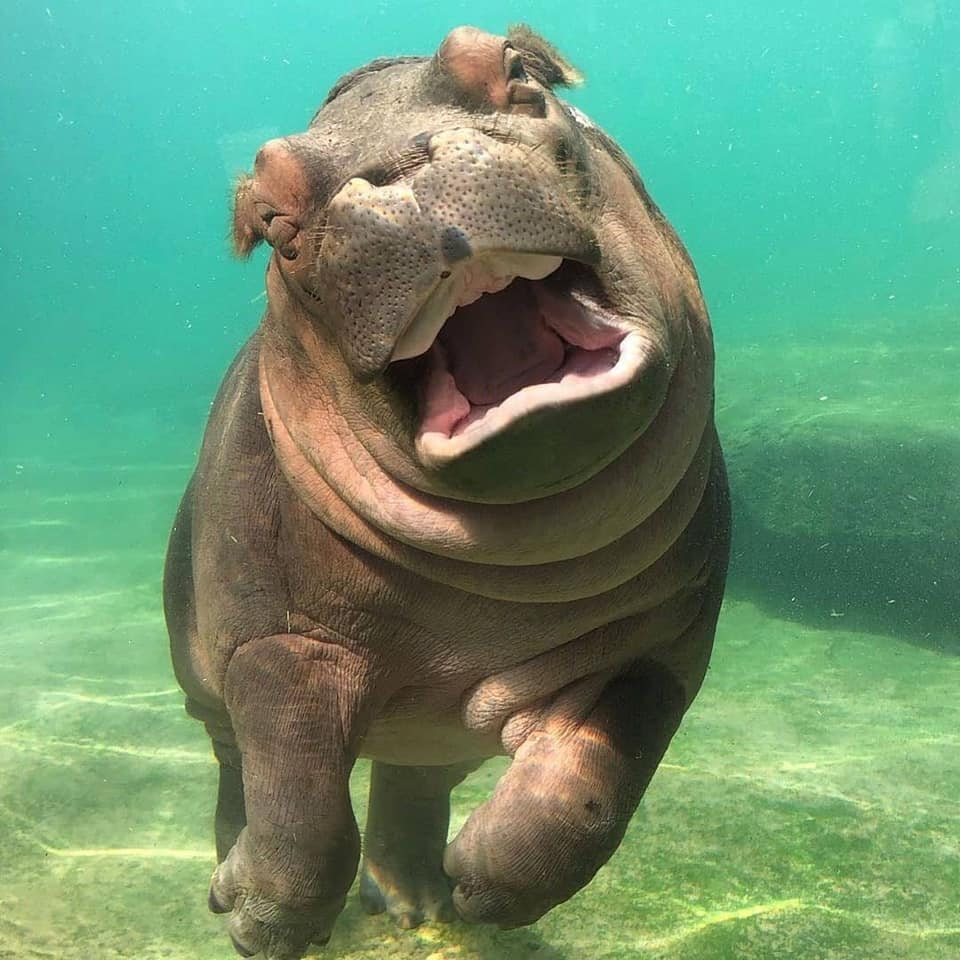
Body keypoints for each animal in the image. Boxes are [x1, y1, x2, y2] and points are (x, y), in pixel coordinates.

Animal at [167, 26, 728, 960]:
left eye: (514, 65)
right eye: (267, 217)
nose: (396, 167)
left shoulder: (657, 638)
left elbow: (593, 783)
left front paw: (488, 881)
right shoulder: (277, 640)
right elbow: (301, 810)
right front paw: (255, 918)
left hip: (434, 735)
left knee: (412, 781)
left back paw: (421, 902)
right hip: (203, 682)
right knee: (238, 770)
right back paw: (230, 872)